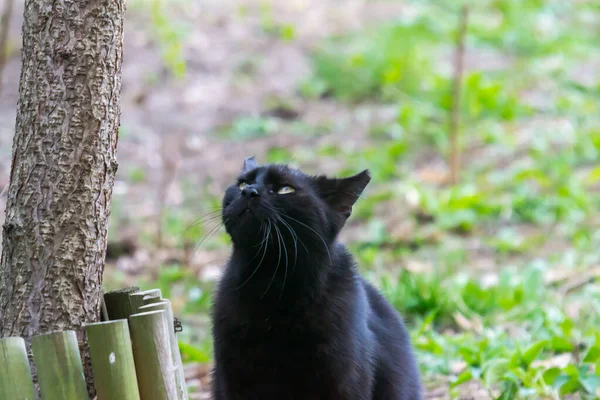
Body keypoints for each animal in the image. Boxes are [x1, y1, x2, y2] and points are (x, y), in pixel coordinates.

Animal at [211, 159, 422, 400]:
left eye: (286, 189)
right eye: (242, 183)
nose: (248, 192)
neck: (272, 283)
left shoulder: (342, 380)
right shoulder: (233, 378)